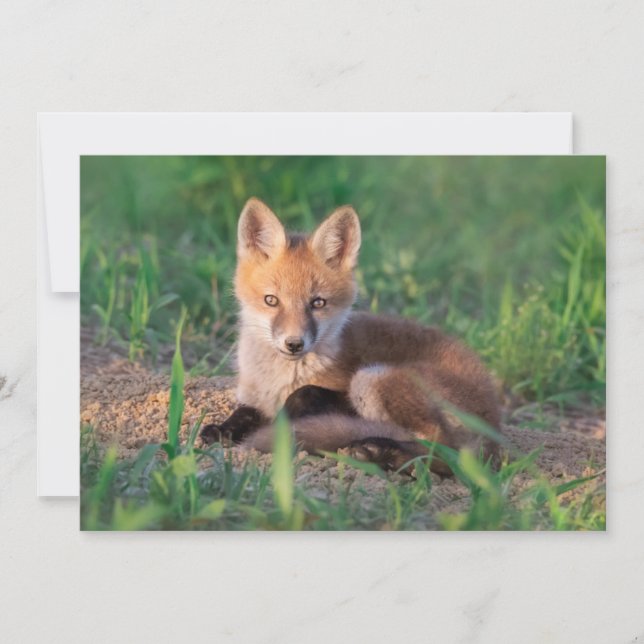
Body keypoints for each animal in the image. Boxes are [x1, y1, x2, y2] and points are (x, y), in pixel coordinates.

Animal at [200, 198, 502, 473]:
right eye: (271, 300)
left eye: (318, 303)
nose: (294, 344)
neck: (277, 380)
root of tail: (495, 423)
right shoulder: (252, 398)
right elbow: (243, 413)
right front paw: (223, 429)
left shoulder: (339, 392)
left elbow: (303, 393)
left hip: (372, 377)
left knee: (446, 453)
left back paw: (383, 452)